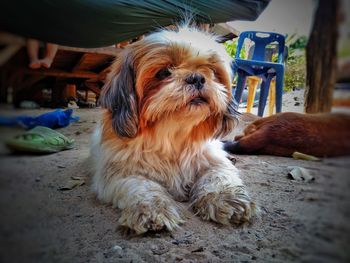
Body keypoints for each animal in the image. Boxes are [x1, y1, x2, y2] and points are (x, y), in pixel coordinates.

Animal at [90, 25, 258, 235]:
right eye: (164, 72)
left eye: (211, 71)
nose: (197, 78)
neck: (173, 136)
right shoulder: (119, 173)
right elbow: (142, 186)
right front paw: (152, 209)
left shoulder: (212, 160)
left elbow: (217, 176)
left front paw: (226, 198)